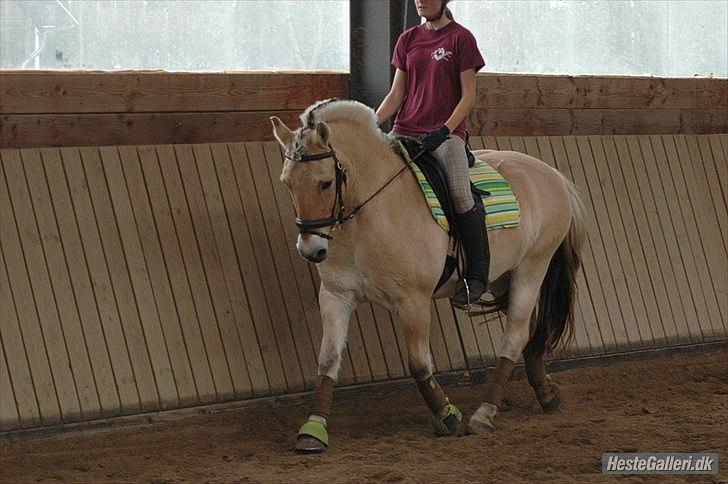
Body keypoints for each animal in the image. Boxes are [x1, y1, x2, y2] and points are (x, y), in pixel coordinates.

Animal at [270, 98, 588, 454]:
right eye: (287, 182)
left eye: (325, 182)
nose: (311, 250)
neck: (369, 215)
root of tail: (552, 174)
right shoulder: (336, 295)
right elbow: (327, 360)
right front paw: (312, 429)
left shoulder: (413, 301)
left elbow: (419, 364)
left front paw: (446, 415)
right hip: (503, 274)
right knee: (528, 331)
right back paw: (545, 393)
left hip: (533, 266)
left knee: (515, 336)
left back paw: (484, 413)